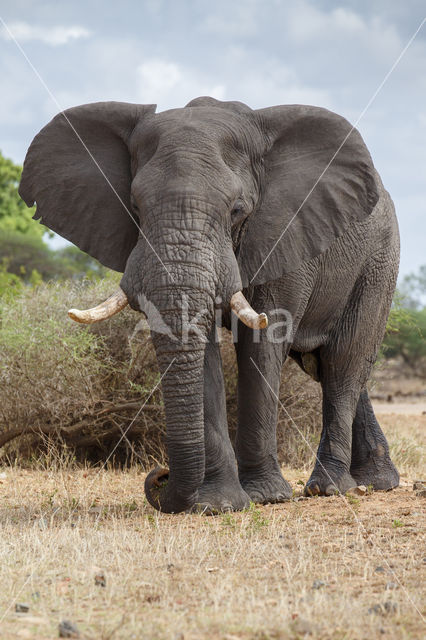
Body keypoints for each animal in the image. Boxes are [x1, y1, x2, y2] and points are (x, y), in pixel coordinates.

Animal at [19, 97, 400, 512]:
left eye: (237, 210)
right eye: (134, 206)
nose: (159, 476)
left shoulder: (282, 232)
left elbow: (262, 344)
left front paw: (265, 498)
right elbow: (204, 354)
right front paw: (218, 505)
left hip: (379, 262)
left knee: (343, 362)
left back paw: (328, 488)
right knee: (331, 367)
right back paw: (376, 482)